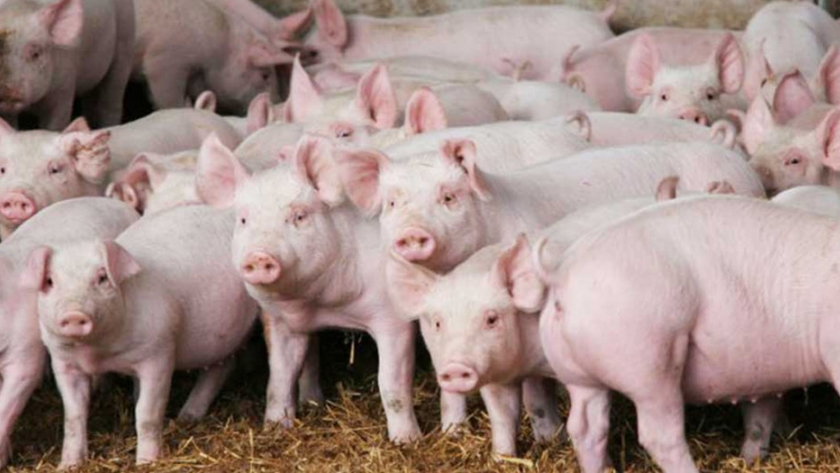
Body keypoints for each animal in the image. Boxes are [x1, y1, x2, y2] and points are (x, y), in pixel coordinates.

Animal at [0, 0, 134, 130]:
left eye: (36, 53)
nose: (6, 90)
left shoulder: (64, 87)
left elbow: (55, 123)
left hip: (125, 44)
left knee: (111, 101)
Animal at [28, 204, 274, 467]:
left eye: (102, 278)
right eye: (50, 281)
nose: (74, 313)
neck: (99, 352)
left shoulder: (159, 353)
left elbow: (146, 414)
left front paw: (146, 463)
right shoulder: (63, 362)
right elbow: (73, 416)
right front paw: (68, 465)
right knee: (221, 367)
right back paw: (187, 417)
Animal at [537, 195, 840, 472]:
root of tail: (561, 271)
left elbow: (761, 415)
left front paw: (751, 459)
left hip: (578, 376)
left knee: (585, 428)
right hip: (650, 365)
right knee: (659, 436)